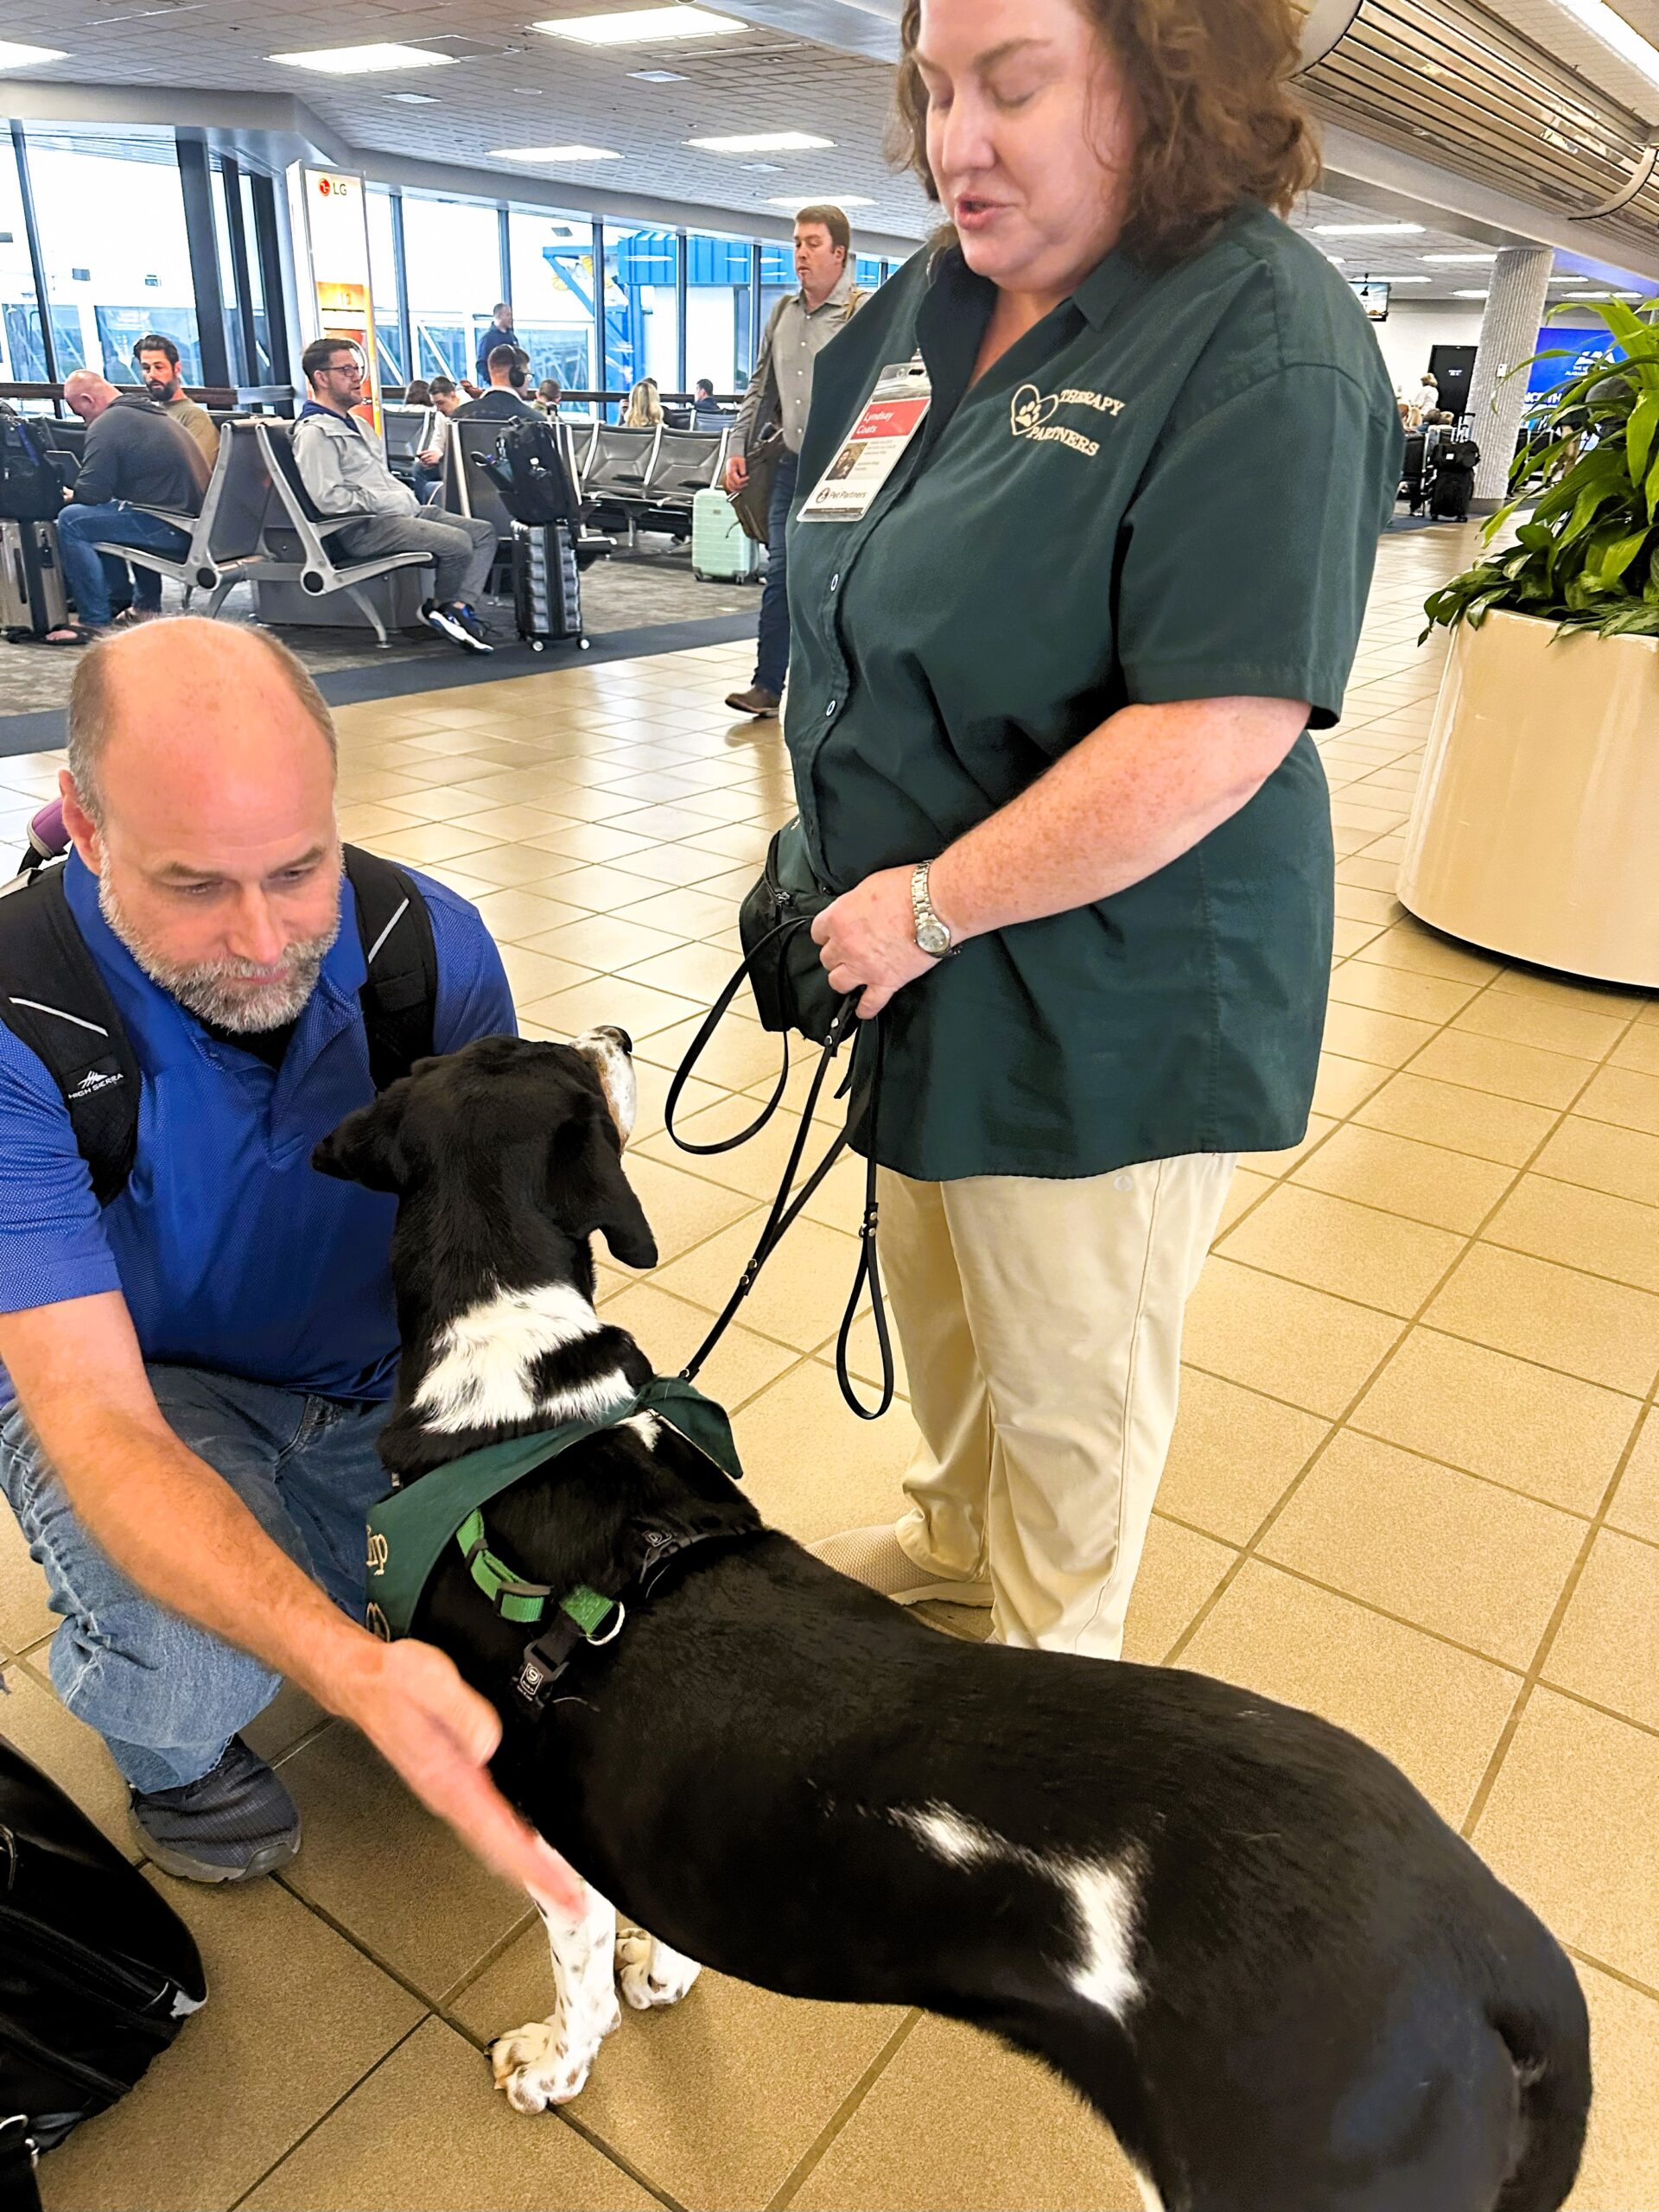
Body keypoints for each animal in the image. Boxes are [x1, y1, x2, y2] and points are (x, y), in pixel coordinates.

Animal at [314, 1035, 1601, 2212]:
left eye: (545, 1051)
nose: (622, 1035)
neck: (519, 1404)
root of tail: (1497, 1949)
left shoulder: (532, 1826)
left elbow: (574, 1974)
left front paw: (553, 2063)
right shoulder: (664, 1830)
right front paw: (665, 1967)